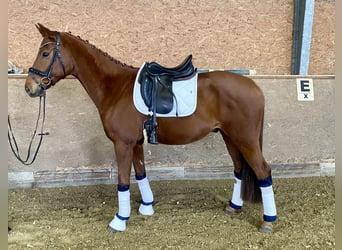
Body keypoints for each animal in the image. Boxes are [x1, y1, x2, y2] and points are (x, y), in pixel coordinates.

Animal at [24, 23, 276, 232]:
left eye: (45, 53)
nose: (29, 88)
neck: (115, 87)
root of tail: (255, 87)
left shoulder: (122, 144)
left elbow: (123, 181)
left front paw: (119, 220)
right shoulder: (135, 143)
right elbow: (141, 173)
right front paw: (146, 207)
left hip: (245, 140)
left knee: (263, 171)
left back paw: (268, 221)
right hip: (230, 137)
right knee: (239, 169)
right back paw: (233, 207)